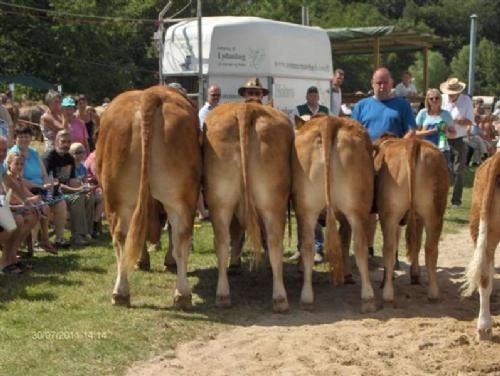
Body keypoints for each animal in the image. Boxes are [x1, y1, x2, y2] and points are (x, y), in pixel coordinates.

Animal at [202, 99, 292, 312]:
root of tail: (246, 108)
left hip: (221, 202)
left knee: (222, 242)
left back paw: (223, 295)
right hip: (272, 205)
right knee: (273, 241)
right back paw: (279, 297)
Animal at [292, 114, 376, 312]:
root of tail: (328, 121)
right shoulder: (345, 219)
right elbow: (344, 242)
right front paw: (347, 275)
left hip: (306, 209)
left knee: (308, 246)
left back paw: (306, 297)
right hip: (356, 210)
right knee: (360, 247)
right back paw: (368, 297)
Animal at [376, 135, 450, 302]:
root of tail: (412, 142)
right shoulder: (417, 218)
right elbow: (416, 243)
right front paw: (414, 274)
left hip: (390, 214)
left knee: (389, 247)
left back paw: (387, 292)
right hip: (434, 213)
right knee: (430, 248)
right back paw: (433, 292)